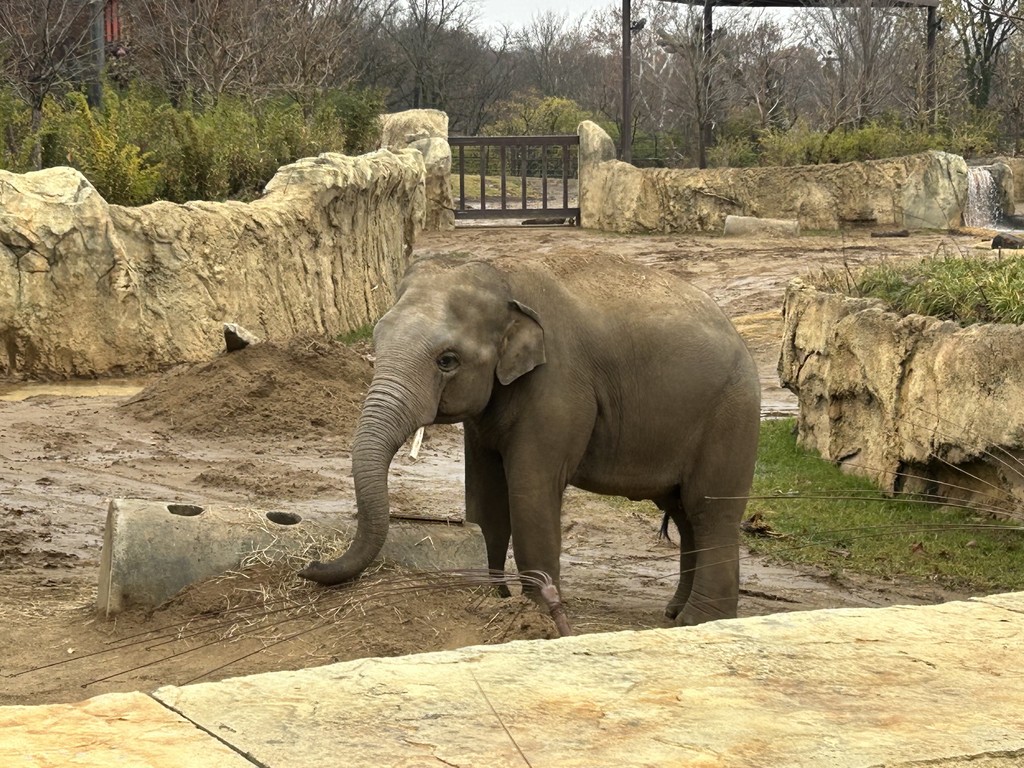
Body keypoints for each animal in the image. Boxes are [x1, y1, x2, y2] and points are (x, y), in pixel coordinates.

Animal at [299, 252, 761, 626]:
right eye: (376, 340)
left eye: (447, 360)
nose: (309, 565)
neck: (506, 278)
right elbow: (485, 499)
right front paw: (493, 598)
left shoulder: (557, 385)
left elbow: (531, 492)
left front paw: (536, 613)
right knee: (683, 512)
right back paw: (675, 612)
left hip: (731, 414)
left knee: (709, 509)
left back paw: (699, 621)